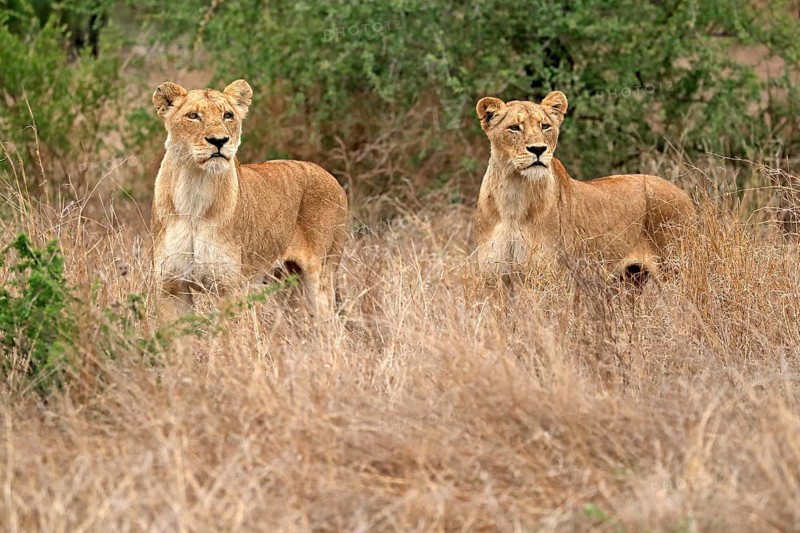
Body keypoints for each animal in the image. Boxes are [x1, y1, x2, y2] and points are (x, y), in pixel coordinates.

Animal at [151, 79, 348, 318]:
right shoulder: (171, 288)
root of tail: (331, 177)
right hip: (286, 283)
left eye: (227, 115)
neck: (194, 190)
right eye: (193, 116)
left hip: (321, 276)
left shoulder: (228, 286)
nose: (219, 141)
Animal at [474, 91, 693, 286]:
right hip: (631, 278)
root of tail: (683, 193)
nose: (538, 149)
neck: (514, 195)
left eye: (545, 126)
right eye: (514, 128)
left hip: (675, 268)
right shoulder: (494, 277)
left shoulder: (550, 276)